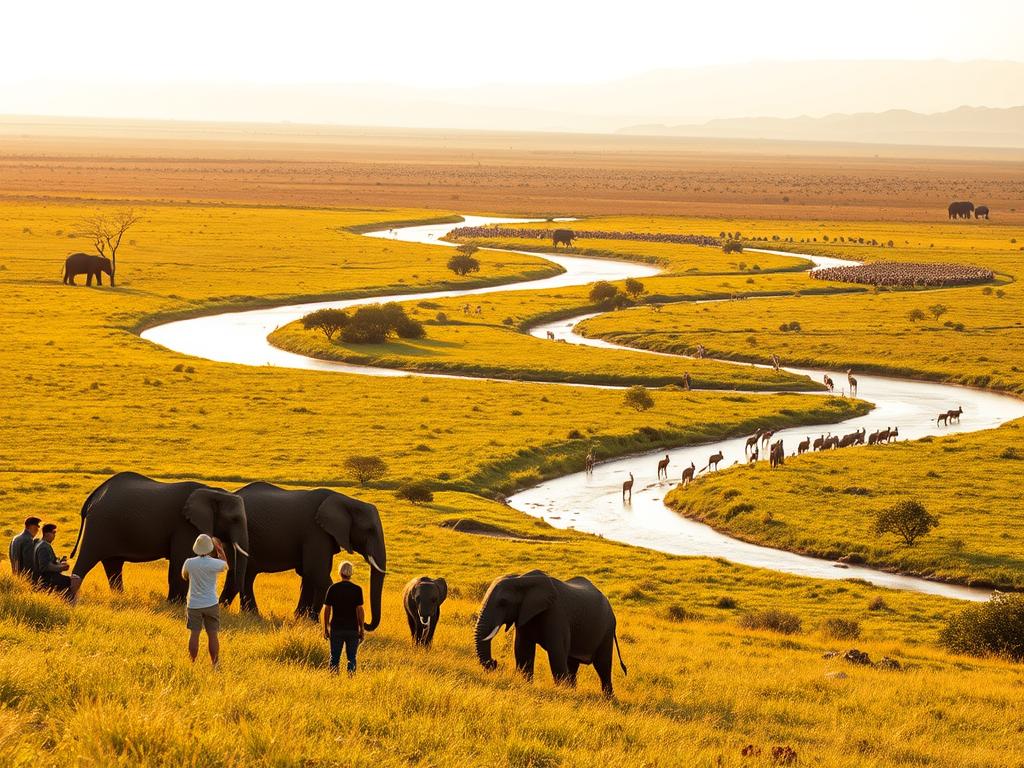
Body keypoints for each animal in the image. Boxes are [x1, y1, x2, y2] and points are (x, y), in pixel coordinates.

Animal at [70, 472, 249, 602]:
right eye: (234, 519)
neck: (213, 491)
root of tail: (94, 495)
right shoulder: (185, 525)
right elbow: (181, 560)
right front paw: (176, 604)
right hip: (99, 525)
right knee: (87, 559)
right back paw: (69, 599)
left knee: (113, 565)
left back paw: (120, 598)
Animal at [218, 482, 386, 627]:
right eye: (369, 530)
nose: (365, 623)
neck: (347, 501)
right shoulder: (316, 532)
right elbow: (317, 574)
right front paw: (313, 622)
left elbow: (308, 574)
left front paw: (300, 618)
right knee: (243, 573)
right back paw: (245, 614)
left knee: (241, 574)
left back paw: (236, 612)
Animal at [474, 570, 627, 696]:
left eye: (503, 602)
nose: (494, 663)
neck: (522, 579)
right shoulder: (525, 614)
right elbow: (523, 650)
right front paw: (527, 685)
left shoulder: (556, 614)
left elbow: (556, 652)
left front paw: (562, 692)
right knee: (573, 663)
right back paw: (574, 691)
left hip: (607, 630)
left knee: (602, 665)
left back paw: (608, 700)